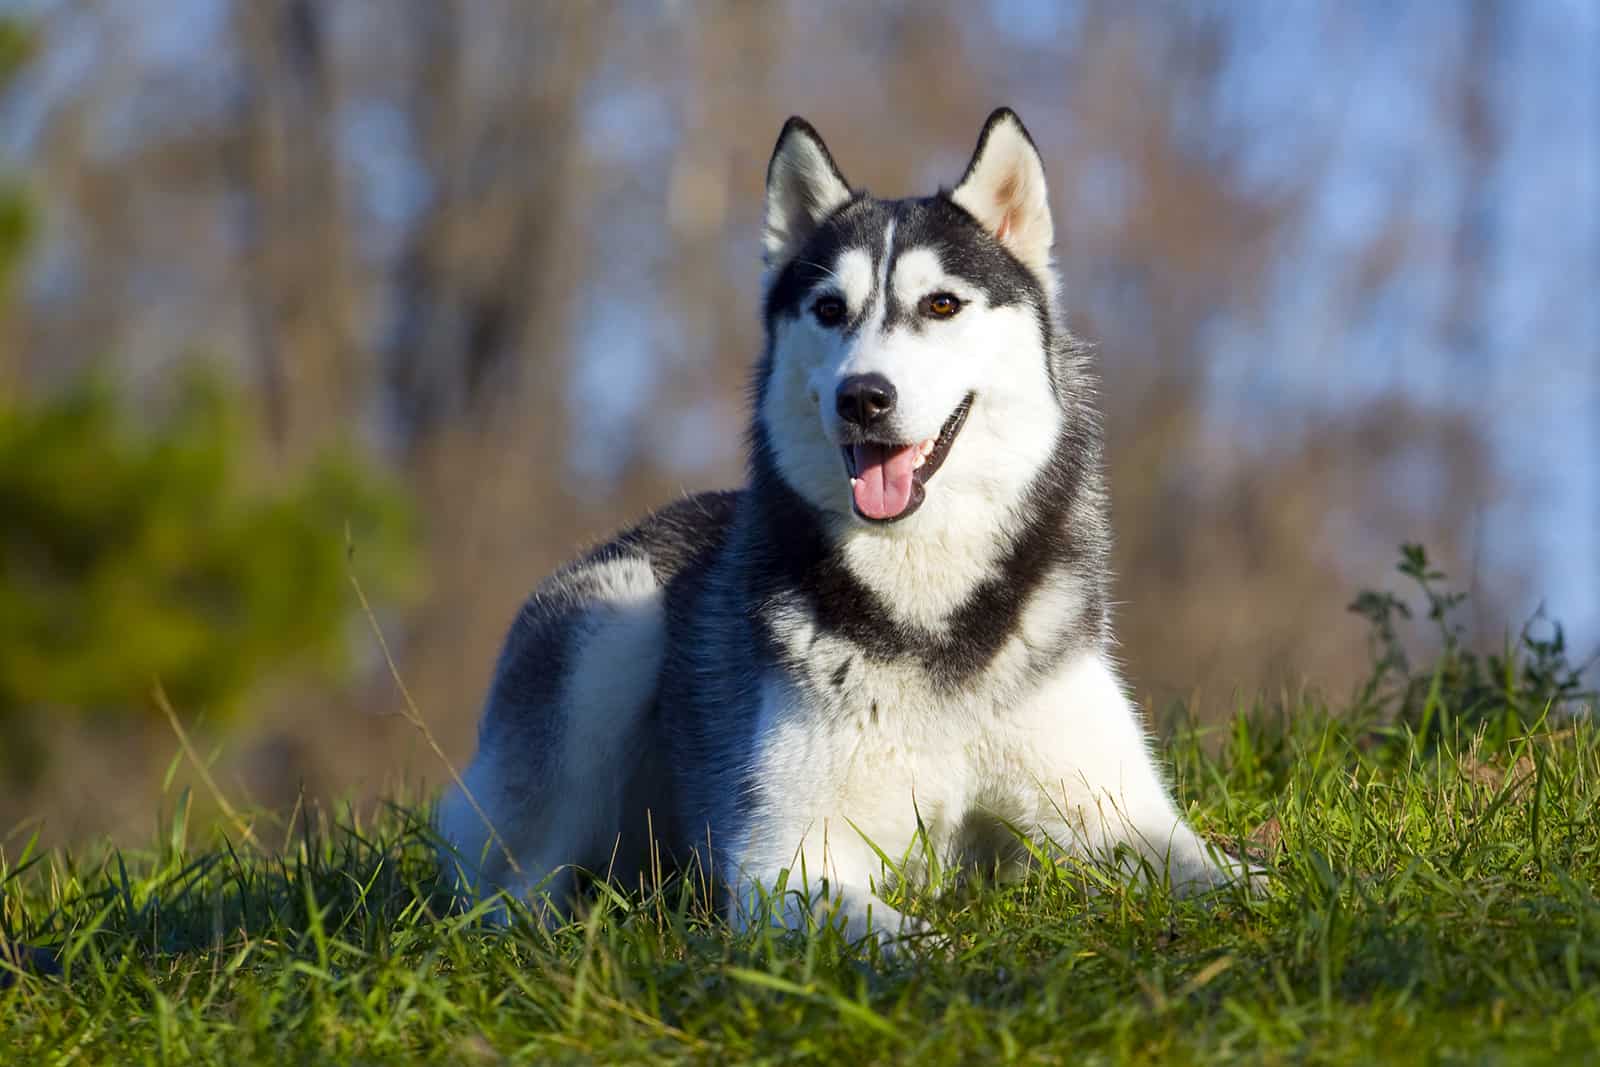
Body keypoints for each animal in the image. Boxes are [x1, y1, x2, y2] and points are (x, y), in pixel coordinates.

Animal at [438, 106, 1248, 940]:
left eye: (941, 304)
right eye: (829, 309)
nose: (863, 396)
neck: (927, 605)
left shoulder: (1124, 815)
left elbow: (1235, 878)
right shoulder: (782, 863)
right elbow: (914, 940)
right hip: (612, 626)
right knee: (510, 890)